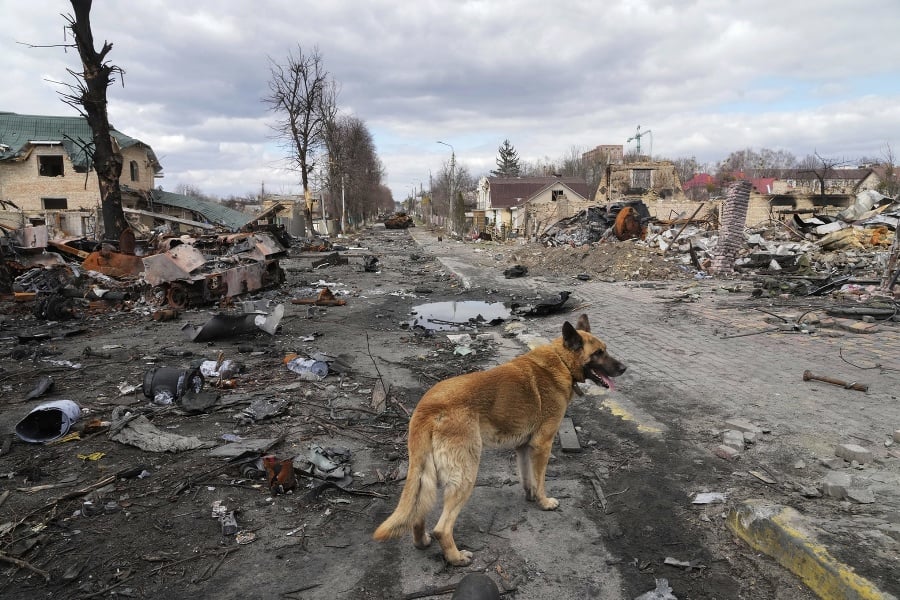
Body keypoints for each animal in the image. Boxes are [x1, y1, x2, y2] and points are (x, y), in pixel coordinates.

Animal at [372, 316, 624, 564]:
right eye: (598, 353)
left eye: (605, 350)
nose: (624, 368)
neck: (561, 361)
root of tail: (427, 407)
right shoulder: (542, 445)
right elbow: (540, 480)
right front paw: (544, 502)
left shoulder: (523, 447)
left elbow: (528, 477)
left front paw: (531, 496)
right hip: (466, 474)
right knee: (442, 528)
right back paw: (456, 557)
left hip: (428, 473)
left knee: (418, 512)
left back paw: (422, 541)